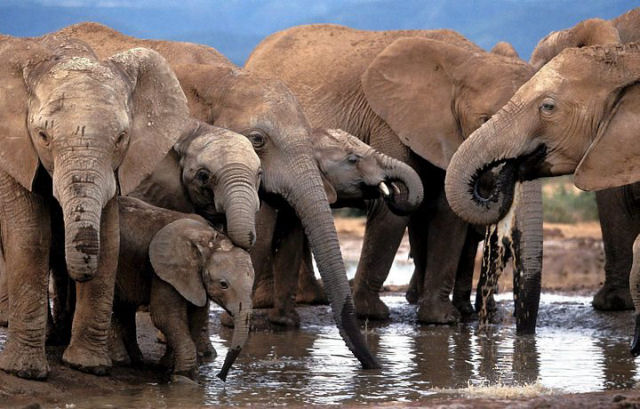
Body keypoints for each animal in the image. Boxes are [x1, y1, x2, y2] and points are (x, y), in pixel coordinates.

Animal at [0, 36, 192, 378]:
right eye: (43, 135)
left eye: (121, 138)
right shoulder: (15, 153)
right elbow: (30, 236)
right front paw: (25, 372)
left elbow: (110, 239)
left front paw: (87, 365)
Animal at [111, 196, 254, 380]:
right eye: (223, 284)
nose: (220, 377)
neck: (208, 239)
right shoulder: (164, 271)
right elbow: (165, 316)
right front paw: (184, 375)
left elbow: (196, 316)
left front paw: (168, 366)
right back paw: (121, 361)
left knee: (124, 308)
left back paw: (136, 360)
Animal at [245, 24, 540, 328]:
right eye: (485, 121)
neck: (468, 59)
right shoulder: (388, 122)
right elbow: (393, 209)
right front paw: (372, 314)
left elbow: (448, 213)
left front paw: (441, 320)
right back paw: (273, 301)